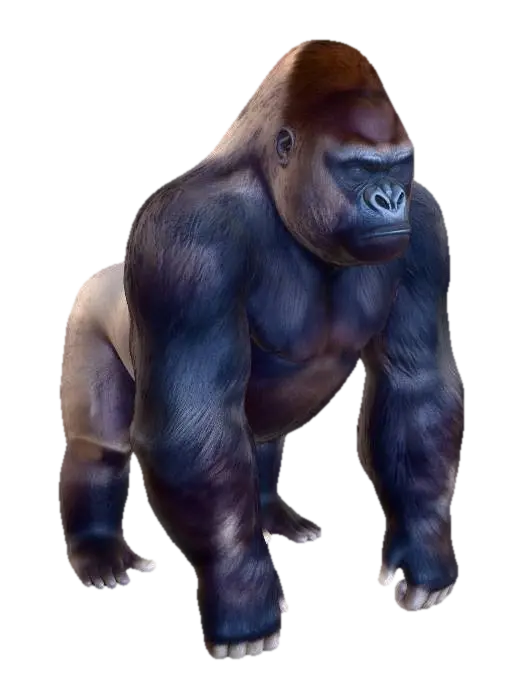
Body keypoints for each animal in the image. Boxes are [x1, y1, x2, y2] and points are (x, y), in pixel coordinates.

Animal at [58, 37, 462, 662]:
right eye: (357, 168)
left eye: (395, 165)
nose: (390, 197)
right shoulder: (190, 239)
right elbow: (190, 424)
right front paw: (241, 600)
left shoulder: (425, 232)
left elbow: (414, 390)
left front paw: (425, 555)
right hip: (83, 314)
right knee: (100, 445)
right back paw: (99, 551)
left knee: (260, 438)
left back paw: (276, 516)